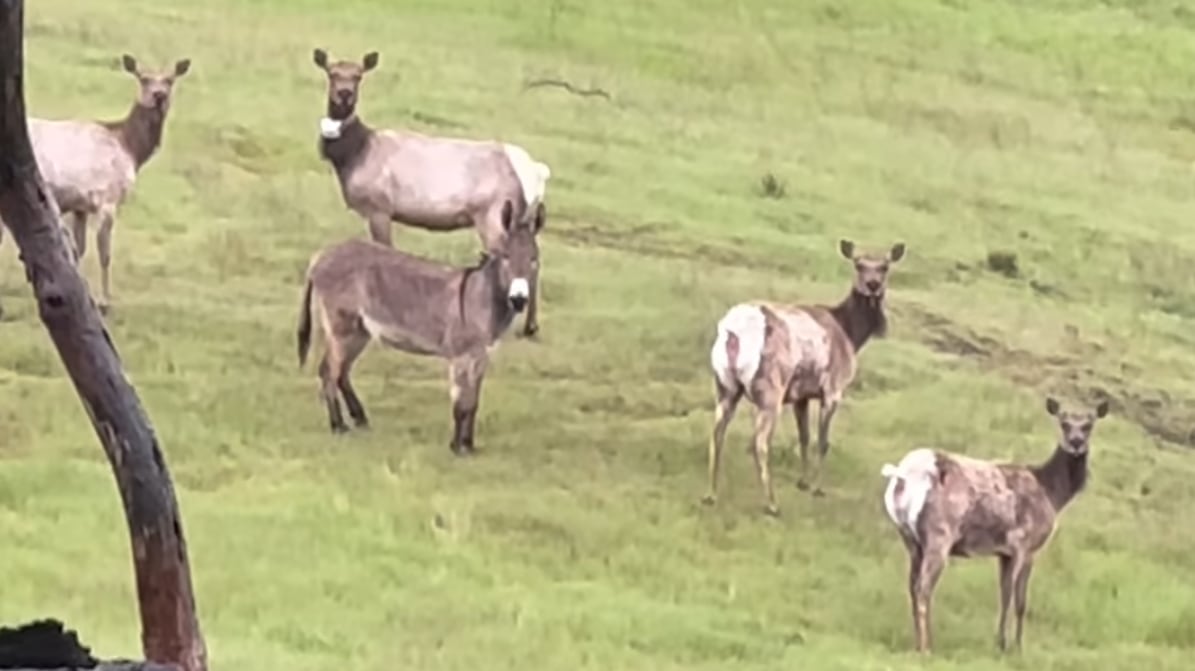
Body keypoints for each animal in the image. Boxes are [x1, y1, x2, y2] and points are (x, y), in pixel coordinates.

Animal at [0, 54, 190, 310]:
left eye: (169, 80)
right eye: (143, 79)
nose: (158, 95)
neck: (130, 148)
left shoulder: (80, 205)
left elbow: (79, 250)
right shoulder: (107, 198)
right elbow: (104, 252)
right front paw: (104, 301)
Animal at [296, 195, 544, 451]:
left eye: (534, 259)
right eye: (506, 257)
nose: (519, 299)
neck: (482, 297)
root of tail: (320, 256)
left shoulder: (481, 357)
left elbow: (473, 403)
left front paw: (468, 445)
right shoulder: (461, 356)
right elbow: (461, 403)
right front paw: (457, 447)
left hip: (358, 331)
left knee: (341, 372)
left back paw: (360, 419)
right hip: (342, 328)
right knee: (328, 371)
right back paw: (338, 426)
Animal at [308, 48, 549, 336]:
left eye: (358, 75)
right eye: (332, 73)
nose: (344, 94)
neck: (354, 155)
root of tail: (537, 172)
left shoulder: (379, 207)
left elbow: (386, 248)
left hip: (494, 215)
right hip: (521, 217)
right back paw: (531, 324)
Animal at [697, 237, 903, 513]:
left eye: (885, 266)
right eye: (859, 265)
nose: (873, 285)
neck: (851, 334)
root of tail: (734, 332)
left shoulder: (801, 395)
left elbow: (804, 437)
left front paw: (803, 482)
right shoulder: (833, 389)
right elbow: (823, 442)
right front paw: (817, 488)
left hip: (724, 385)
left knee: (716, 433)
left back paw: (710, 494)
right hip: (770, 391)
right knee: (760, 442)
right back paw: (771, 504)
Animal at [879, 394, 1108, 649]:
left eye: (1089, 424)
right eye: (1064, 423)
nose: (1076, 442)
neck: (1052, 493)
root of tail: (902, 475)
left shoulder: (1004, 552)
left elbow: (1004, 595)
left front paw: (1001, 642)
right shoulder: (1025, 544)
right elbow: (1020, 600)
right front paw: (1017, 646)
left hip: (909, 538)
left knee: (912, 586)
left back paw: (919, 641)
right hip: (939, 533)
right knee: (923, 588)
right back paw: (926, 647)